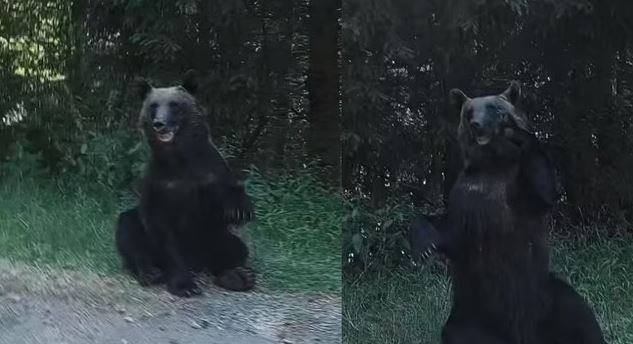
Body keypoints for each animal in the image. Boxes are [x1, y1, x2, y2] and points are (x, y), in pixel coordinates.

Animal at [113, 71, 254, 296]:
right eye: (153, 105)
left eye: (174, 105)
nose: (159, 123)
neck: (179, 158)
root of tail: (196, 263)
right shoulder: (159, 184)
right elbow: (162, 232)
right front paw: (184, 285)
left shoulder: (210, 174)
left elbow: (225, 204)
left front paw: (238, 208)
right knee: (129, 229)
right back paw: (150, 272)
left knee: (234, 247)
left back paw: (237, 276)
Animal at [408, 81, 604, 344]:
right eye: (469, 111)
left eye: (494, 108)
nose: (476, 124)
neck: (491, 165)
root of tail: (524, 336)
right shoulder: (463, 196)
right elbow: (448, 229)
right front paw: (424, 245)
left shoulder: (518, 193)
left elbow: (542, 190)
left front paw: (521, 136)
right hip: (473, 313)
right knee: (458, 332)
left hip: (547, 296)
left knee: (580, 315)